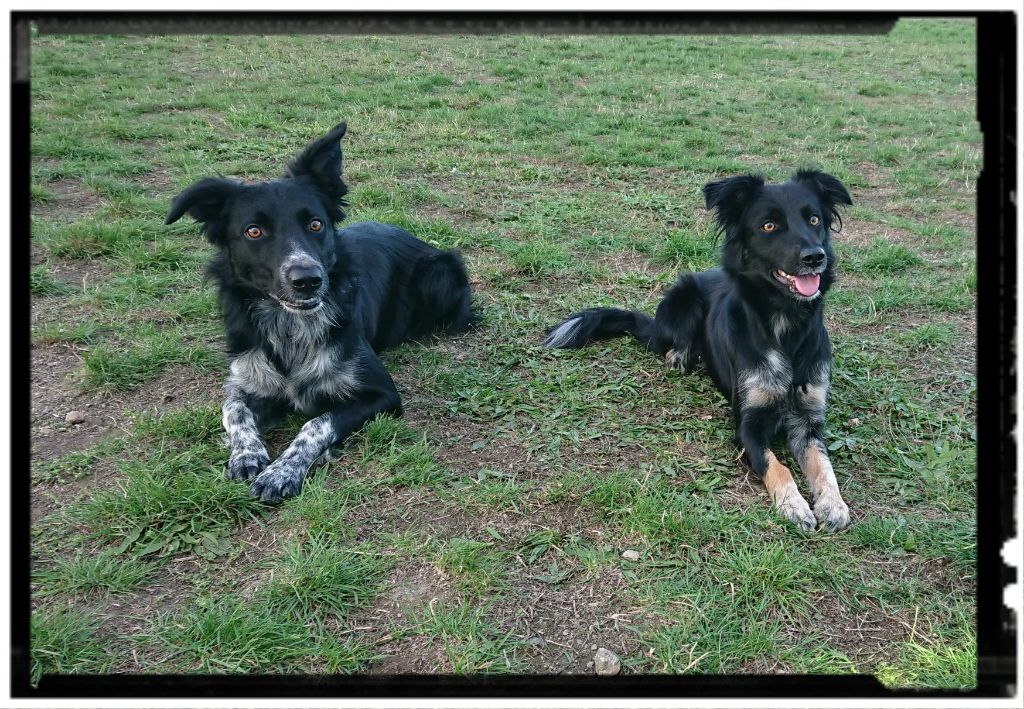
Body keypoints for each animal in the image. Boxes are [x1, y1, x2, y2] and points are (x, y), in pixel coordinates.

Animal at [165, 121, 473, 502]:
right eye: (254, 231)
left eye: (315, 224)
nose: (308, 280)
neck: (291, 327)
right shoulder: (248, 377)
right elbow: (233, 407)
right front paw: (247, 454)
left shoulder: (382, 395)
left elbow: (317, 422)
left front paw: (282, 471)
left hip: (440, 274)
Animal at [548, 169, 851, 528]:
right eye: (769, 226)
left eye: (814, 219)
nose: (815, 257)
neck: (785, 326)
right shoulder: (747, 426)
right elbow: (776, 466)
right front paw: (793, 504)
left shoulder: (808, 419)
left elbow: (823, 465)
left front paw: (833, 504)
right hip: (682, 297)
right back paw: (679, 356)